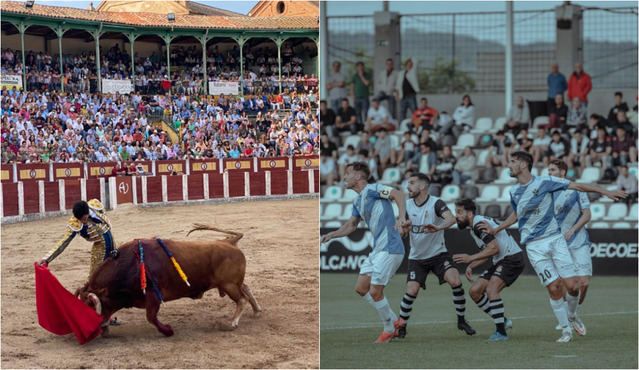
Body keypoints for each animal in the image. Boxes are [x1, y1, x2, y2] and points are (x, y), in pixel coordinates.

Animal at [76, 224, 262, 336]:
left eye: (90, 305)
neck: (128, 265)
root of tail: (229, 242)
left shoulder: (153, 295)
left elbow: (151, 317)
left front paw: (168, 331)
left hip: (228, 284)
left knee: (241, 299)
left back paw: (232, 323)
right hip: (232, 283)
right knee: (246, 289)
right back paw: (257, 310)